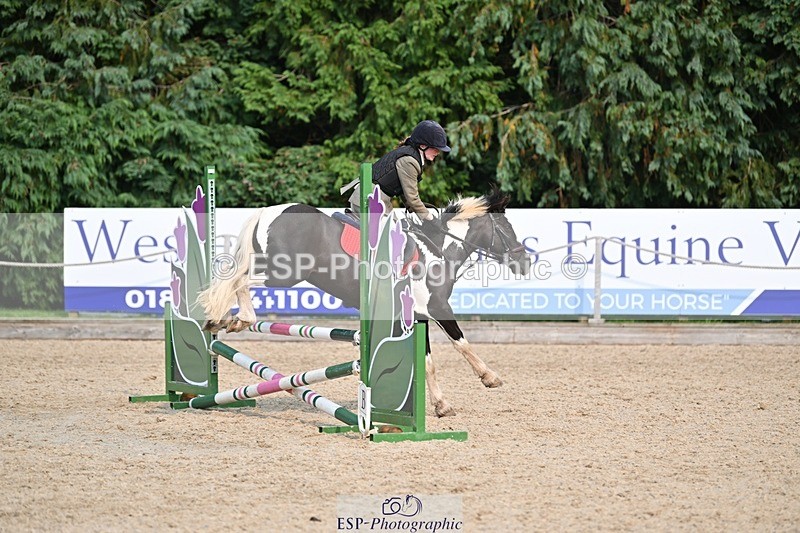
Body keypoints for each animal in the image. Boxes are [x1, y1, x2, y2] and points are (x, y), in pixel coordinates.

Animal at [197, 190, 531, 417]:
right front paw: (489, 377)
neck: (437, 250)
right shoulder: (436, 307)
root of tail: (268, 212)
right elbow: (461, 343)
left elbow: (426, 362)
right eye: (507, 229)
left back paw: (222, 320)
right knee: (239, 280)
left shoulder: (416, 316)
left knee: (235, 279)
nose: (525, 263)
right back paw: (239, 317)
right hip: (285, 273)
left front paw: (439, 405)